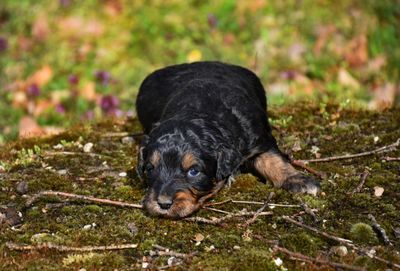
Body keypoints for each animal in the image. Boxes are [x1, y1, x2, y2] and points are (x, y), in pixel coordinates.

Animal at [136, 61, 320, 219]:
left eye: (193, 171)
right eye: (150, 168)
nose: (163, 204)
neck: (201, 111)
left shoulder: (259, 138)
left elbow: (273, 159)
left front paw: (300, 180)